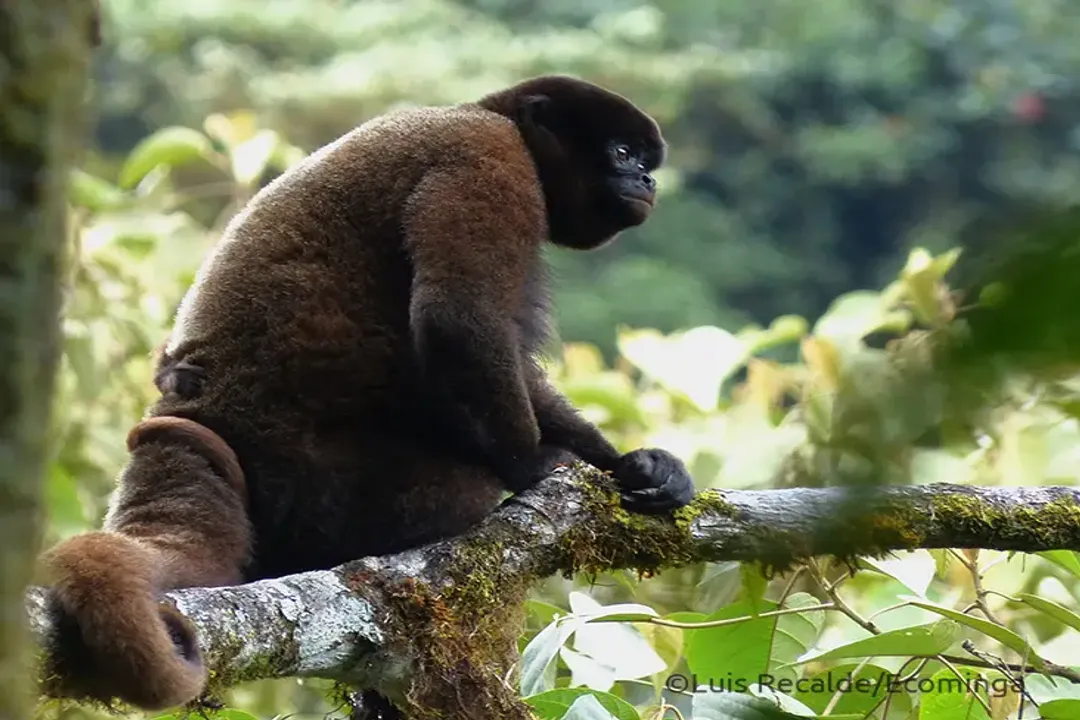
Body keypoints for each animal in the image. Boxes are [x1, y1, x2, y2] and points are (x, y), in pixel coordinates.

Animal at [39, 75, 696, 711]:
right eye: (621, 152)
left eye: (645, 161)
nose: (645, 179)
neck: (494, 116)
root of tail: (194, 417)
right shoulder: (486, 155)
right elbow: (459, 318)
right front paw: (536, 465)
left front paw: (636, 465)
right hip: (327, 486)